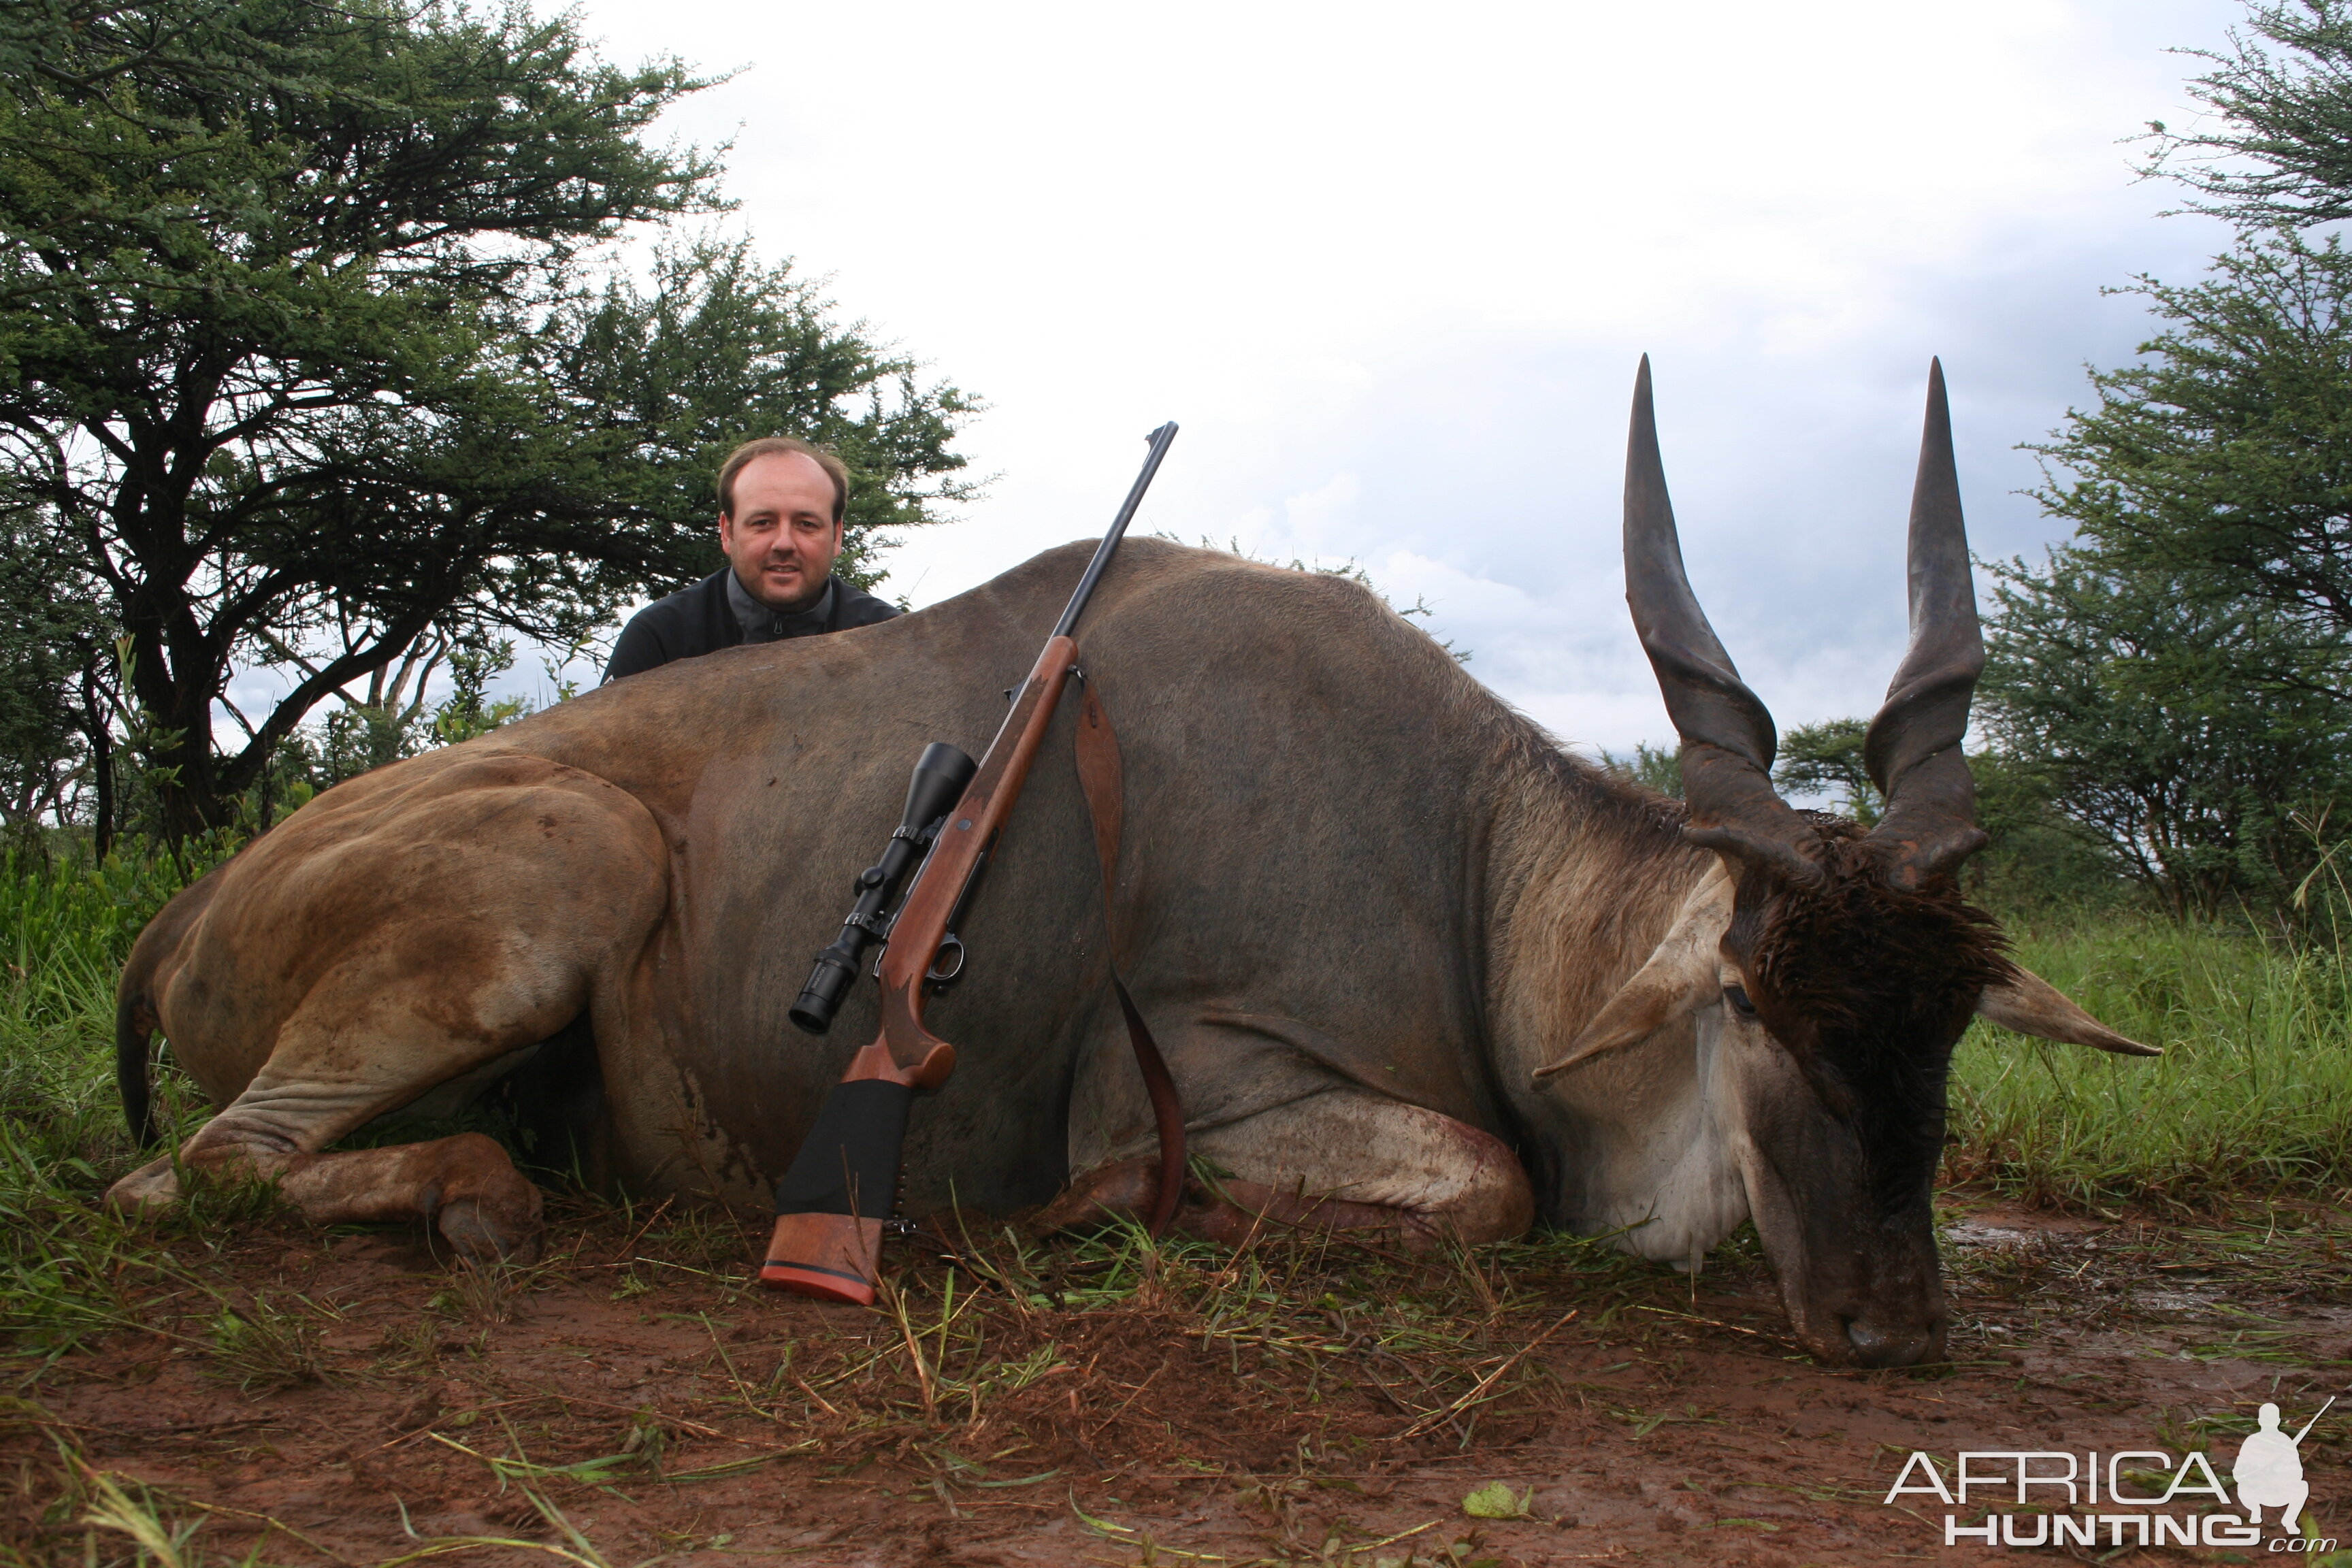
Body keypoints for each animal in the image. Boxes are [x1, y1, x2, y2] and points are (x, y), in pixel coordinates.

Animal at [110, 361, 2154, 1363]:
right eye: (1756, 998)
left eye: (1943, 1032)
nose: (1892, 1330)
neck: (1470, 863)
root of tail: (182, 913)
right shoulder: (1219, 1075)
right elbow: (1486, 1184)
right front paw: (1115, 1221)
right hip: (568, 868)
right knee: (188, 1176)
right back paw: (478, 1200)